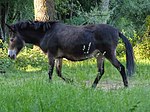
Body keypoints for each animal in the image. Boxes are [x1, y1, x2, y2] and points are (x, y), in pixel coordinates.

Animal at [6, 20, 135, 88]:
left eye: (11, 39)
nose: (10, 55)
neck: (46, 33)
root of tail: (117, 31)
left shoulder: (51, 55)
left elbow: (50, 72)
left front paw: (49, 85)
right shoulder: (59, 57)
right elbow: (58, 72)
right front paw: (71, 82)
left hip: (108, 54)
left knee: (121, 67)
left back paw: (126, 86)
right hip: (100, 55)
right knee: (101, 71)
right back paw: (92, 87)